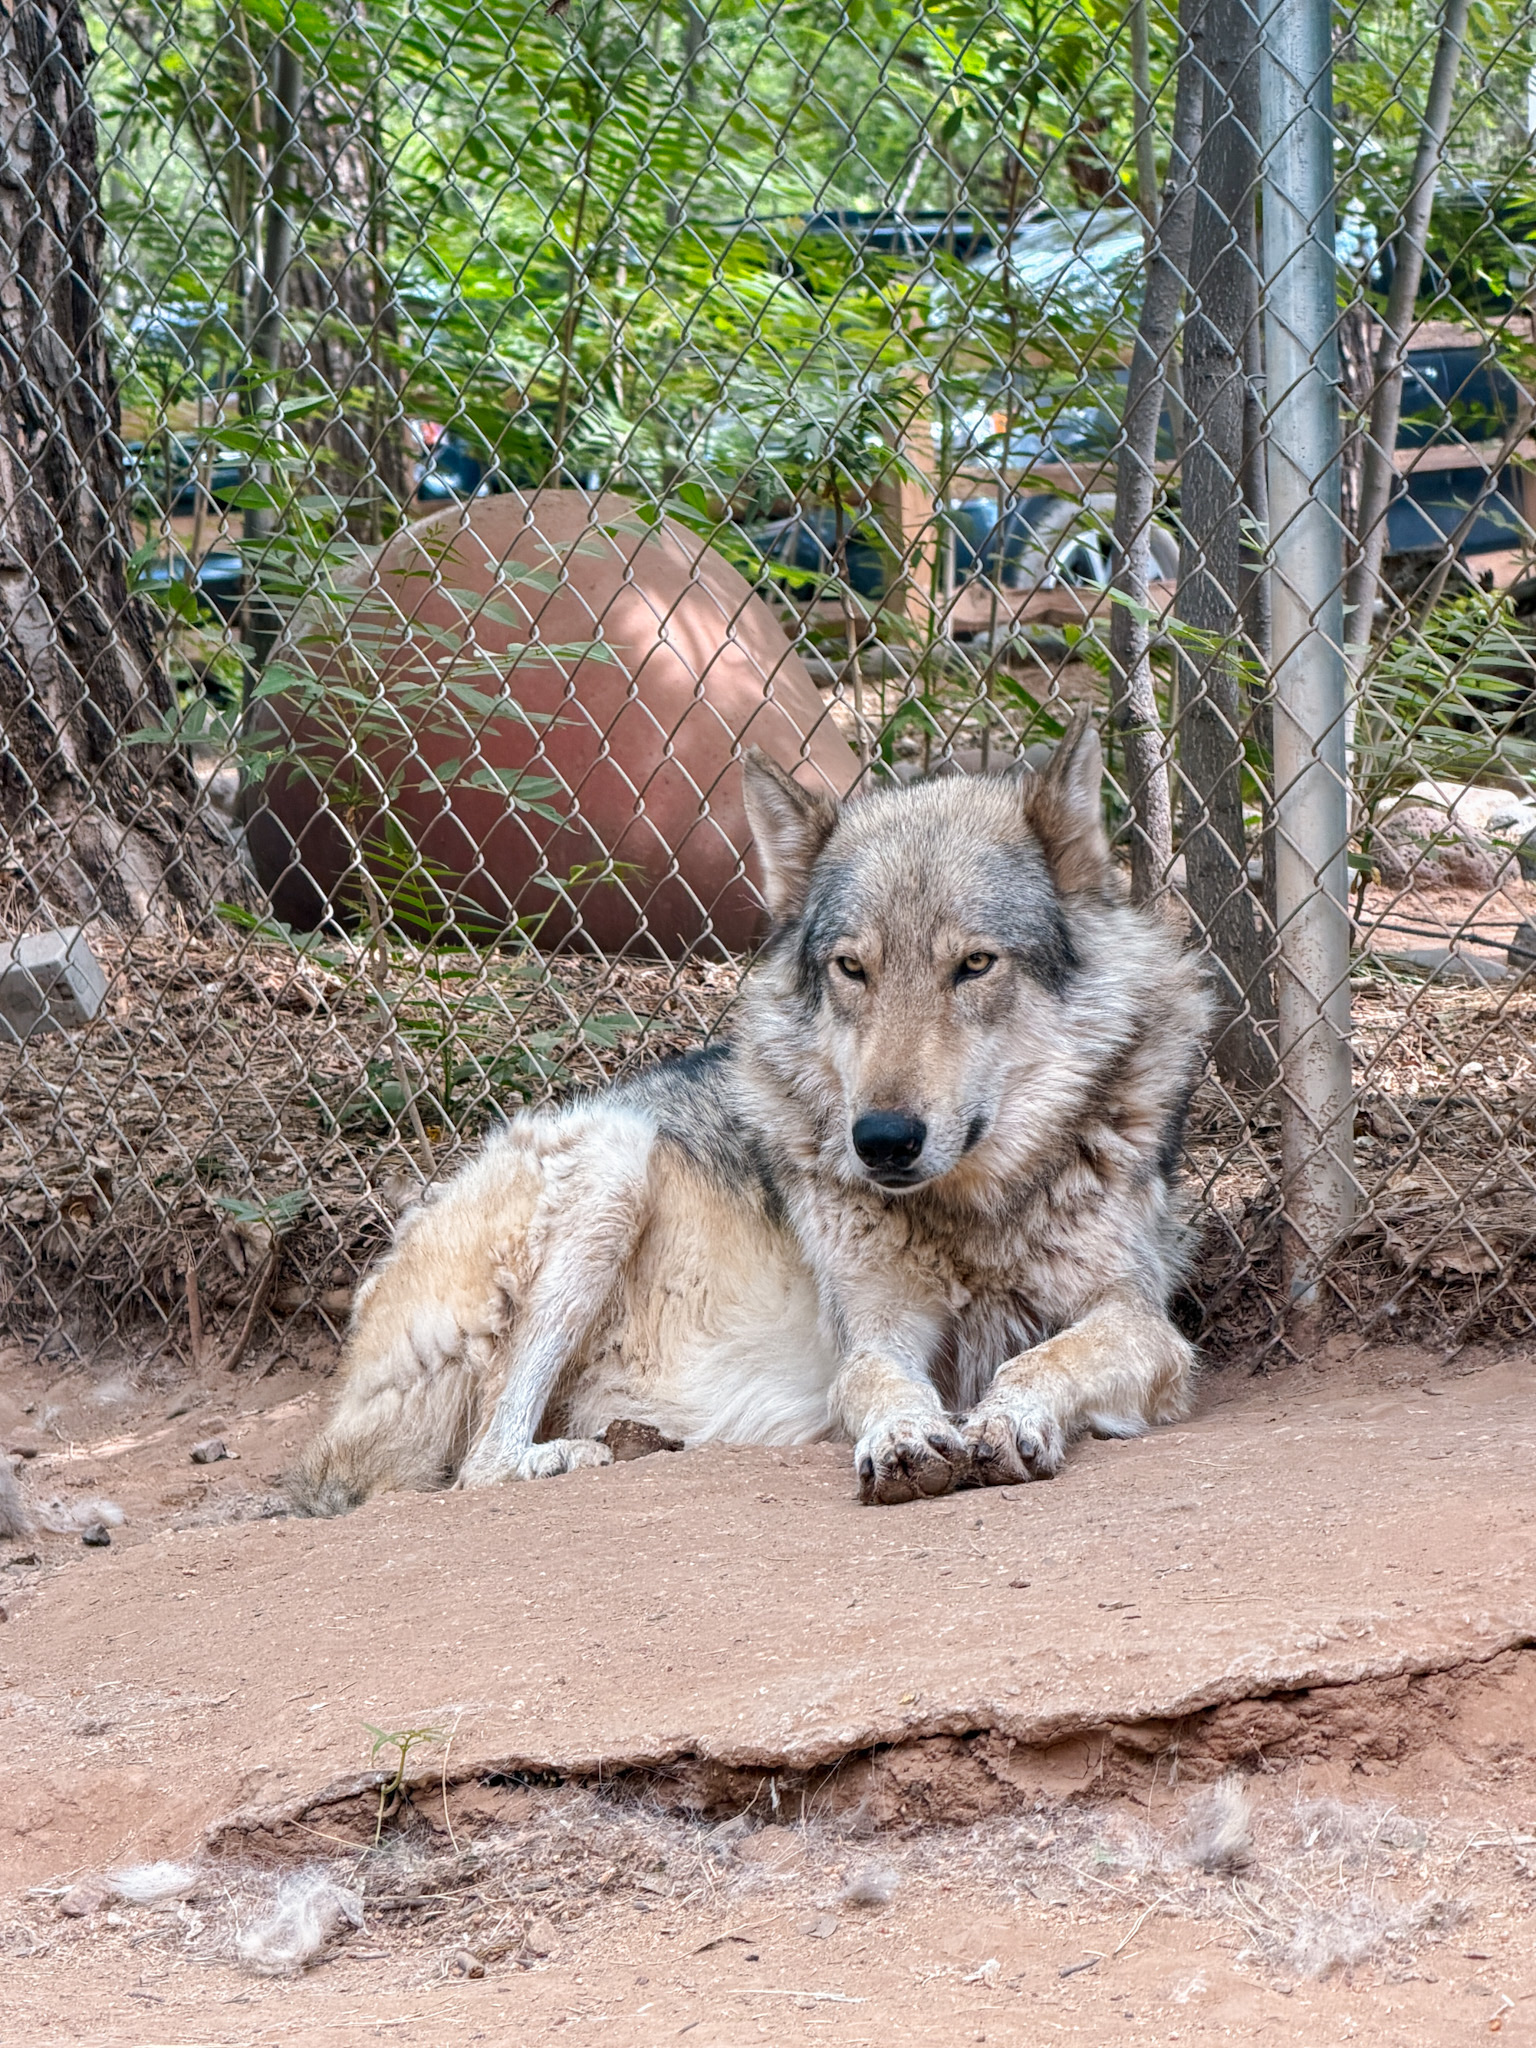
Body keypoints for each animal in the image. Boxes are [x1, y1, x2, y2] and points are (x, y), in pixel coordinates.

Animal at [289, 711, 1211, 1515]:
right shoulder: (875, 1331)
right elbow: (877, 1382)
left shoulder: (1144, 1324)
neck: (974, 1221)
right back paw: (577, 1455)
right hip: (613, 1161)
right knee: (480, 1464)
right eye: (852, 968)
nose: (881, 1141)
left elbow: (1039, 1360)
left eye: (975, 965)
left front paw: (1007, 1417)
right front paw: (903, 1437)